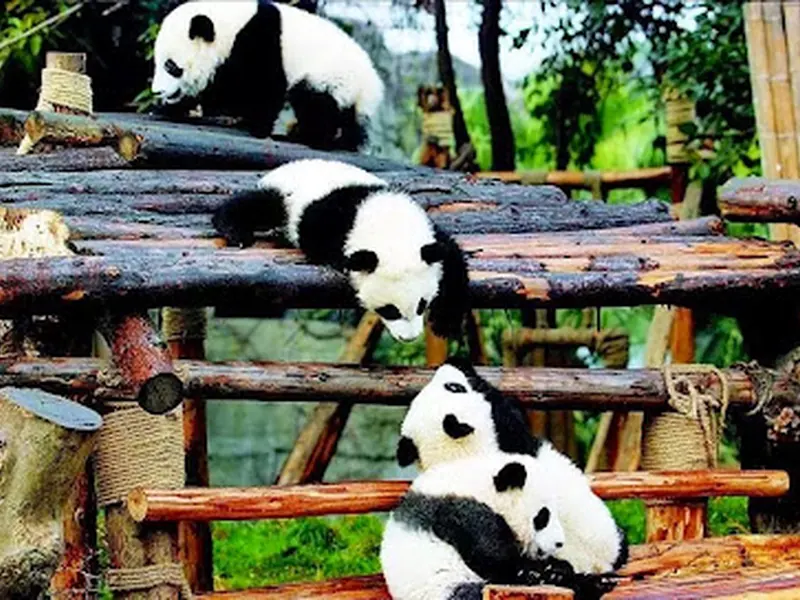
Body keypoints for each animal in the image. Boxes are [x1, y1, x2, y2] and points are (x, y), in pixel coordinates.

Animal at [151, 0, 383, 150]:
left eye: (170, 66)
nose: (157, 91)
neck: (231, 26)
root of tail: (370, 87)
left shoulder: (259, 40)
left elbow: (263, 87)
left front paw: (256, 126)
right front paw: (170, 108)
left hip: (330, 77)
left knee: (315, 104)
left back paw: (305, 137)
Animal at [212, 159, 469, 341]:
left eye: (421, 305)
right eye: (390, 310)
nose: (409, 338)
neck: (386, 221)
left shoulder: (429, 235)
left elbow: (451, 256)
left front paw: (446, 321)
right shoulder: (327, 224)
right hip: (283, 195)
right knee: (257, 205)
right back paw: (234, 229)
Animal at [381, 452, 617, 600]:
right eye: (543, 516)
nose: (559, 543)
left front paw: (556, 570)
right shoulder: (461, 512)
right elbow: (492, 557)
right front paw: (534, 573)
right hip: (441, 589)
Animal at [396, 358, 628, 575]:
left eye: (453, 387)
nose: (446, 368)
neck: (463, 455)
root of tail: (597, 565)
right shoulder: (510, 440)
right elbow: (505, 411)